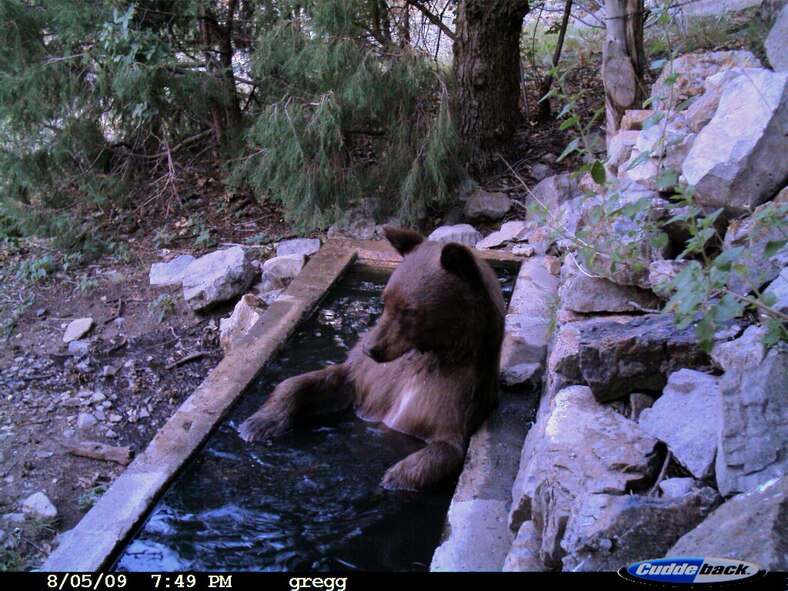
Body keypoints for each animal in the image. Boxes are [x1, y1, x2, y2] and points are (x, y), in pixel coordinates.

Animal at [238, 226, 506, 491]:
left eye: (410, 310)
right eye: (386, 299)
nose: (370, 348)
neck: (429, 355)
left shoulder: (457, 398)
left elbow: (446, 448)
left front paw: (394, 477)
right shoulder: (374, 378)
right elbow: (312, 382)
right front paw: (256, 424)